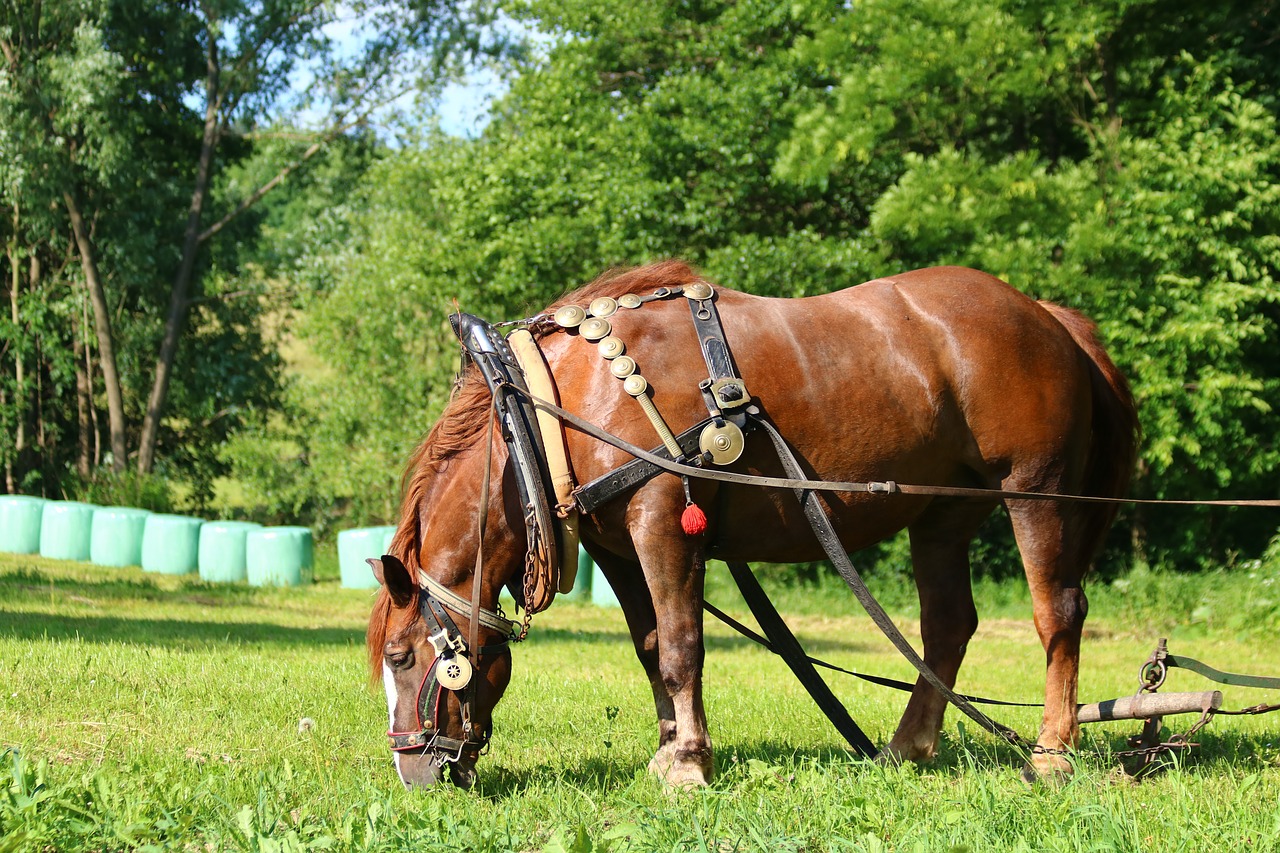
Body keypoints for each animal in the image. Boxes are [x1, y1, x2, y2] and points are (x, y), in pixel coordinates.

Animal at [366, 257, 1136, 783]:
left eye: (401, 656)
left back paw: (1052, 750)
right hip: (942, 513)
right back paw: (907, 744)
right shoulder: (617, 548)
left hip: (1036, 490)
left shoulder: (662, 520)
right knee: (948, 625)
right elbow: (651, 644)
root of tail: (1048, 316)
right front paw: (668, 748)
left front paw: (689, 763)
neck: (550, 412)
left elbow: (682, 646)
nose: (413, 771)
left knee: (1058, 612)